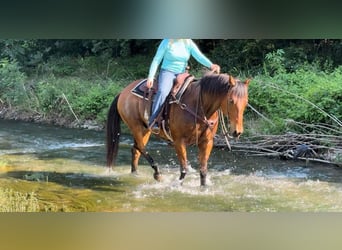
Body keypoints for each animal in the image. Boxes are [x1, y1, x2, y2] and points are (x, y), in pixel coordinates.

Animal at [105, 73, 250, 186]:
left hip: (145, 129)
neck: (199, 106)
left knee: (136, 150)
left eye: (246, 102)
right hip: (136, 127)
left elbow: (203, 170)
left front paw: (203, 188)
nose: (237, 131)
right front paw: (177, 185)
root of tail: (123, 92)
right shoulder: (179, 141)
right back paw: (157, 173)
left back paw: (135, 174)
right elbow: (184, 168)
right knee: (140, 148)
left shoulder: (207, 142)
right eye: (231, 100)